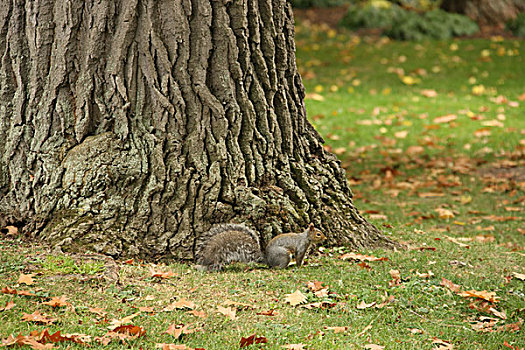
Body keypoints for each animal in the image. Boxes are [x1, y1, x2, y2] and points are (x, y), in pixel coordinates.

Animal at [194, 224, 326, 270]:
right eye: (318, 234)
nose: (325, 238)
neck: (305, 237)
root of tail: (267, 259)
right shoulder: (301, 247)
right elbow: (299, 257)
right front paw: (300, 266)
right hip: (284, 255)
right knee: (276, 267)